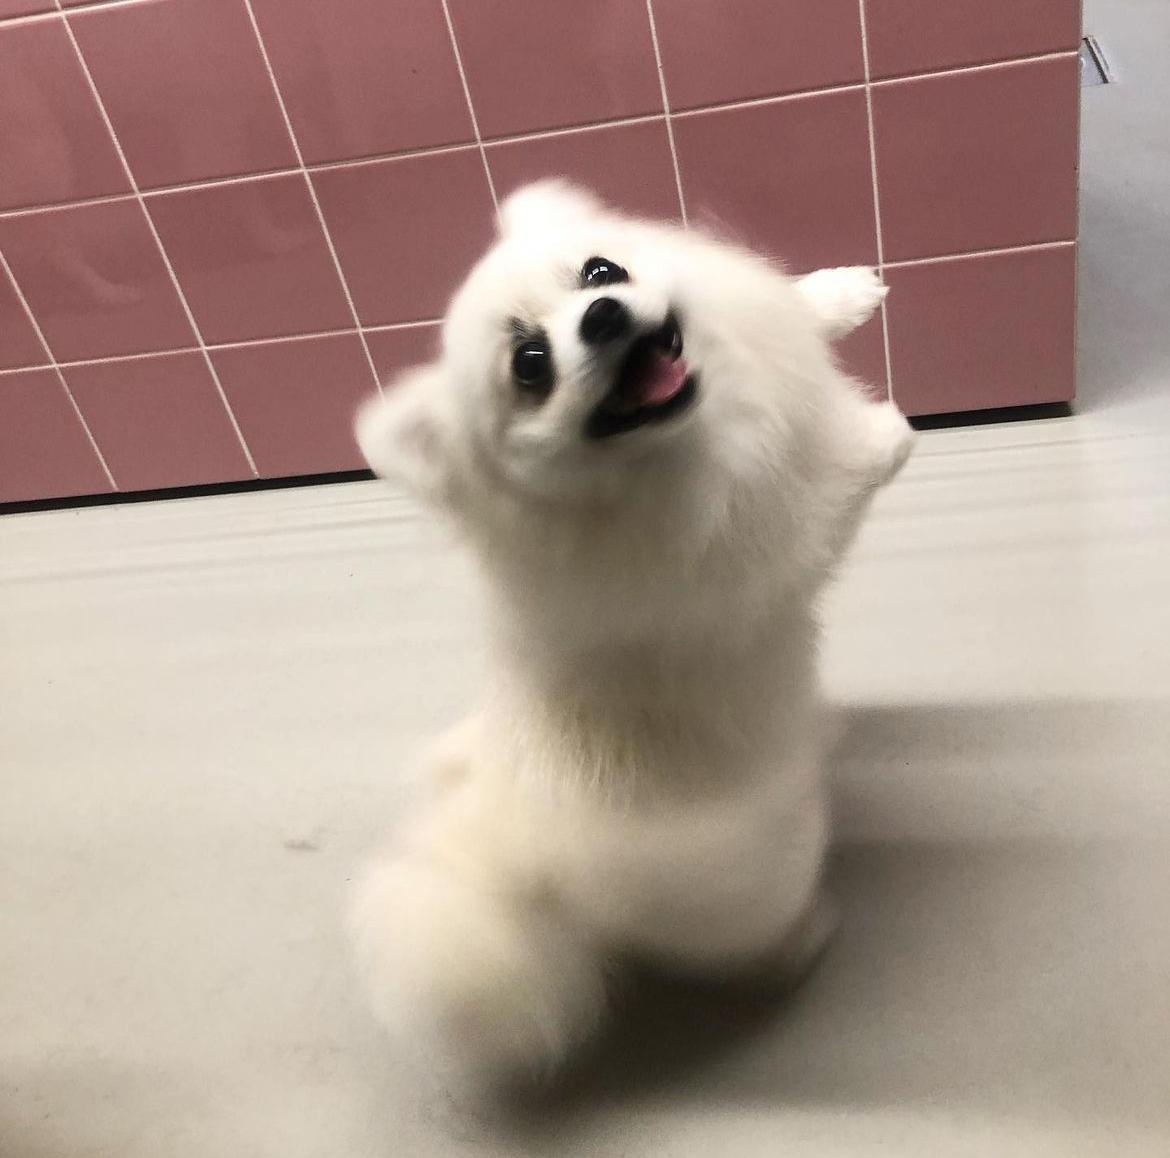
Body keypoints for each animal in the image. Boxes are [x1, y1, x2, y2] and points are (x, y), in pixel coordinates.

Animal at [351, 181, 913, 1090]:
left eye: (600, 271)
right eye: (530, 366)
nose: (606, 316)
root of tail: (512, 869)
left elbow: (789, 306)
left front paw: (841, 292)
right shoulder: (766, 547)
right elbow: (827, 488)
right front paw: (882, 433)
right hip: (756, 872)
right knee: (749, 945)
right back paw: (808, 939)